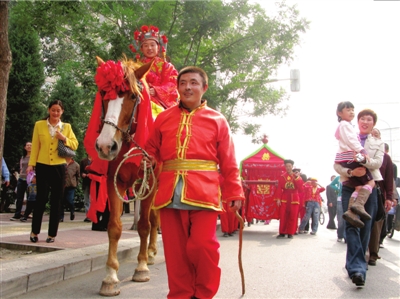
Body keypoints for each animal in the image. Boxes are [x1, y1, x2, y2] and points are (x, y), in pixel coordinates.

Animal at [88, 56, 159, 298]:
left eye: (132, 96)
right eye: (103, 93)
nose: (105, 145)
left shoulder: (151, 183)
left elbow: (144, 225)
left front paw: (141, 267)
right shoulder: (115, 181)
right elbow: (114, 227)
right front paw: (110, 277)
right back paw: (152, 252)